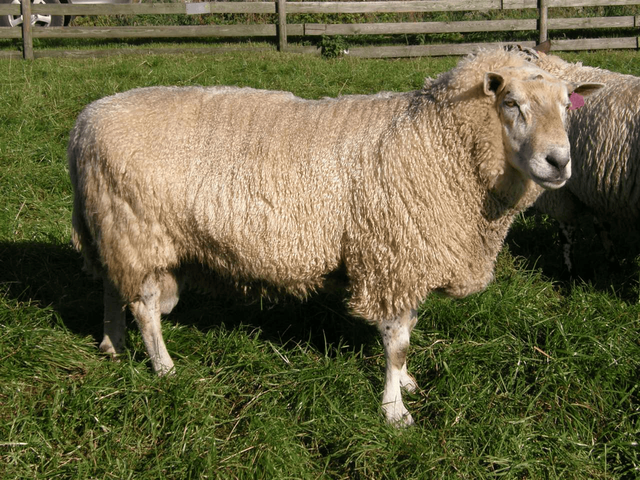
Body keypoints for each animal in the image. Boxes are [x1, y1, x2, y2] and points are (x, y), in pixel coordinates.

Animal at [68, 48, 602, 426]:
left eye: (567, 106)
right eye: (511, 104)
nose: (559, 162)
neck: (437, 142)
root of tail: (84, 122)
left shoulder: (407, 259)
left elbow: (407, 330)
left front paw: (405, 384)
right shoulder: (392, 256)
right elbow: (397, 341)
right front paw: (394, 412)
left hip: (111, 228)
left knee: (111, 286)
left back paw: (112, 344)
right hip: (138, 230)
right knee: (145, 307)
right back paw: (164, 368)